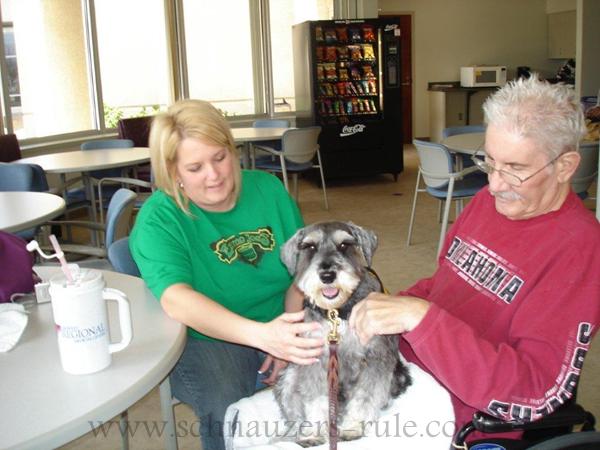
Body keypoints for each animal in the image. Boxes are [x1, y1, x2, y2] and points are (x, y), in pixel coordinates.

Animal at [274, 221, 410, 446]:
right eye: (310, 247)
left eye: (345, 244)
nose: (327, 275)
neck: (337, 312)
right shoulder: (315, 359)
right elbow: (315, 399)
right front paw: (314, 432)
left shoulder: (375, 358)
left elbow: (365, 396)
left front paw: (353, 427)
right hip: (290, 376)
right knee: (292, 410)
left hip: (396, 376)